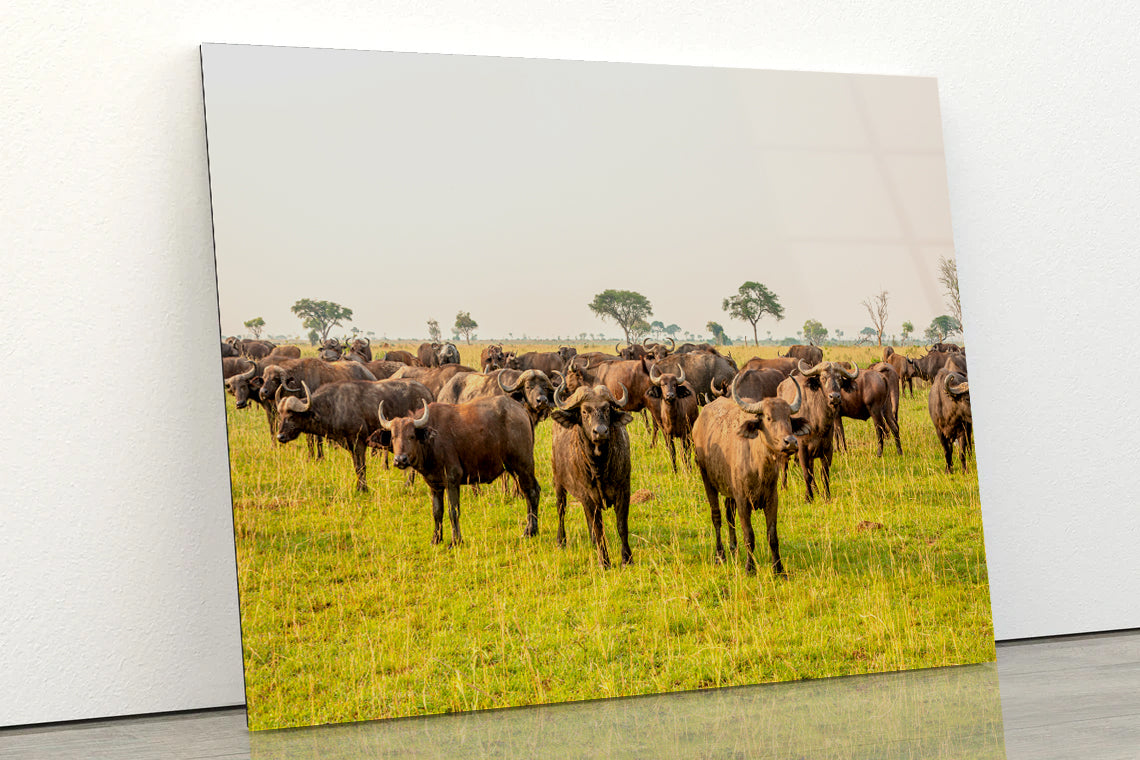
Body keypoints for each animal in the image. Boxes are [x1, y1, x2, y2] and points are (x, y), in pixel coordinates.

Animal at [376, 396, 540, 549]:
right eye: (393, 437)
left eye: (411, 436)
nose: (400, 460)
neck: (431, 442)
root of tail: (520, 409)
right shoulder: (435, 486)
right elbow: (437, 512)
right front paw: (436, 539)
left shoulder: (452, 481)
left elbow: (453, 511)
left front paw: (456, 541)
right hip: (513, 468)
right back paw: (532, 530)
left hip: (523, 465)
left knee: (532, 492)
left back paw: (529, 531)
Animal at [549, 382, 638, 567]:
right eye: (584, 411)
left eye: (607, 409)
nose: (601, 432)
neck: (600, 466)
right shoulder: (588, 495)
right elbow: (599, 529)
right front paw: (604, 562)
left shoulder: (623, 490)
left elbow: (621, 526)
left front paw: (627, 558)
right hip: (558, 483)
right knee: (561, 510)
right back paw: (561, 541)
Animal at [688, 371, 807, 574]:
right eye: (768, 418)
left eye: (788, 418)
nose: (790, 442)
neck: (759, 468)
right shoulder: (743, 500)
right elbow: (749, 536)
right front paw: (750, 568)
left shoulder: (772, 499)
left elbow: (772, 536)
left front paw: (778, 569)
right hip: (707, 479)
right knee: (717, 516)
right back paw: (720, 554)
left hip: (729, 490)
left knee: (729, 516)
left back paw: (733, 548)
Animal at [779, 362, 852, 501]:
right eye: (823, 378)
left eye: (840, 378)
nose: (835, 397)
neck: (818, 424)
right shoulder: (802, 449)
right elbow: (806, 474)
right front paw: (808, 497)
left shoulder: (827, 449)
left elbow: (824, 474)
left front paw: (826, 495)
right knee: (785, 465)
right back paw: (783, 487)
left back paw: (817, 491)